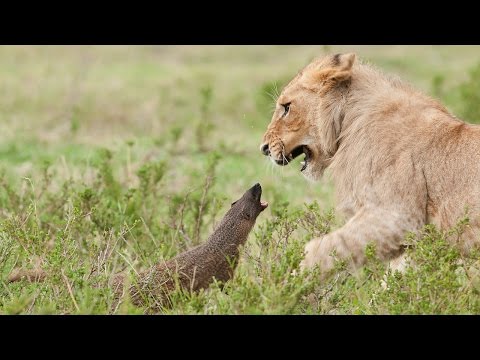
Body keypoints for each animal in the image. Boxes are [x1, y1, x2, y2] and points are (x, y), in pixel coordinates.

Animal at [260, 52, 480, 278]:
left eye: (287, 107)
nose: (264, 148)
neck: (348, 121)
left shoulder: (397, 217)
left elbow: (323, 248)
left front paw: (289, 281)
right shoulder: (413, 235)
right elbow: (395, 277)